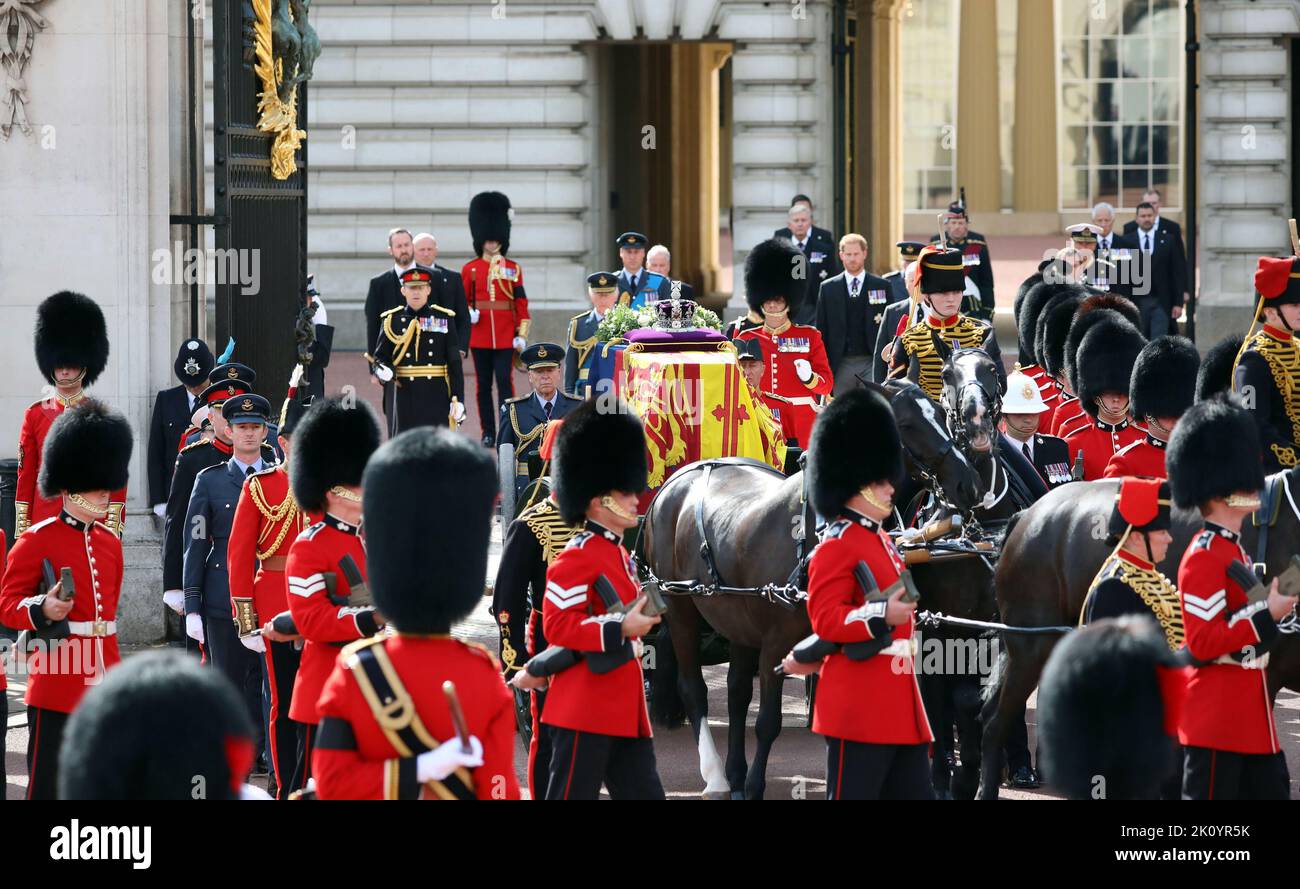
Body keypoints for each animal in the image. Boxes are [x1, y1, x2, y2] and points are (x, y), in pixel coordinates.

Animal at [644, 379, 977, 800]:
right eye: (905, 423)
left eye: (939, 410)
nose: (969, 483)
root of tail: (678, 479)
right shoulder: (776, 642)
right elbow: (768, 721)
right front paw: (755, 785)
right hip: (681, 607)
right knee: (694, 690)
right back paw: (717, 776)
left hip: (735, 617)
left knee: (736, 692)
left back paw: (734, 773)